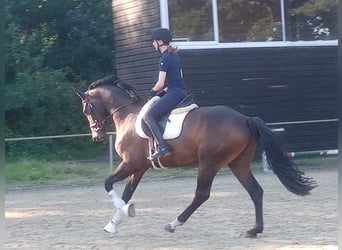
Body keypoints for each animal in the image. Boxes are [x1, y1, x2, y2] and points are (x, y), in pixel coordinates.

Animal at [75, 75, 318, 237]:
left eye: (86, 110)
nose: (96, 136)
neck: (127, 115)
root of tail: (245, 119)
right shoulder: (139, 167)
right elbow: (127, 193)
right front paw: (113, 223)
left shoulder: (130, 163)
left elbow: (109, 184)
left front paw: (125, 212)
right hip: (238, 163)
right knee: (255, 191)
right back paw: (255, 230)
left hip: (209, 163)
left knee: (201, 194)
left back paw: (174, 223)